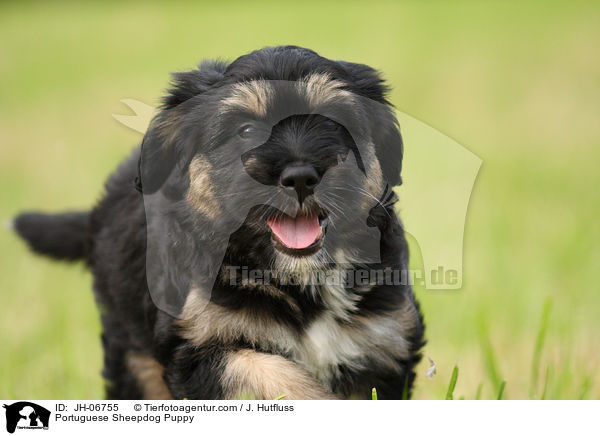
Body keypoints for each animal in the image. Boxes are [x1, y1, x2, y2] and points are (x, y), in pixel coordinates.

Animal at [16, 46, 424, 400]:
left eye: (331, 122)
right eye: (246, 130)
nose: (301, 178)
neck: (294, 280)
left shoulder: (385, 338)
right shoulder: (197, 342)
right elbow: (271, 373)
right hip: (130, 345)